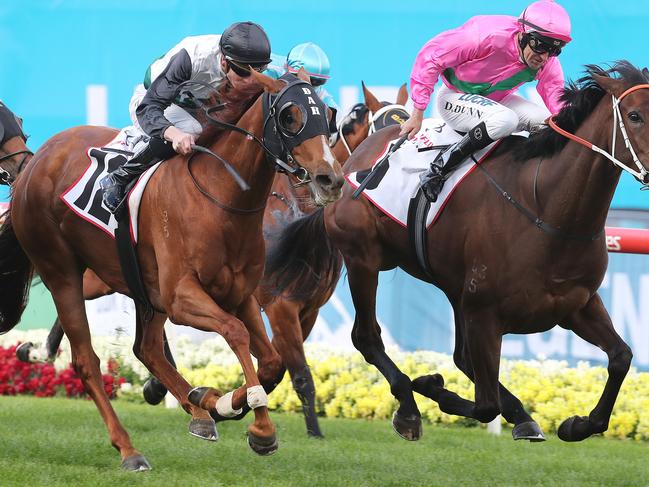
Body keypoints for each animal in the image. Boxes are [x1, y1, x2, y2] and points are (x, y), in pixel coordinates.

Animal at [264, 61, 648, 442]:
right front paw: (430, 386)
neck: (546, 209)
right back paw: (409, 406)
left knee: (461, 357)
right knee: (367, 337)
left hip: (452, 286)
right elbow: (486, 404)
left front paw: (575, 424)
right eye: (634, 115)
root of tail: (344, 167)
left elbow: (621, 357)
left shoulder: (577, 304)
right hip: (364, 259)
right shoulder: (483, 313)